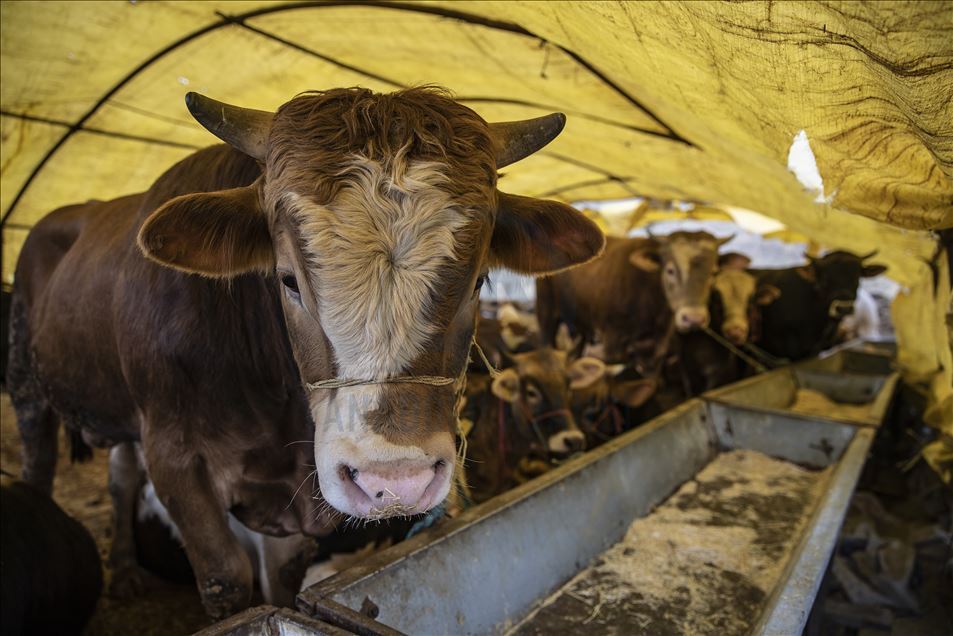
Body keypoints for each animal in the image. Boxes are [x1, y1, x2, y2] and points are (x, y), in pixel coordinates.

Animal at [7, 85, 604, 616]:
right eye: (288, 279)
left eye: (479, 281)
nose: (396, 482)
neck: (271, 405)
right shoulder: (174, 454)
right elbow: (226, 577)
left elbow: (282, 580)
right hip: (28, 388)